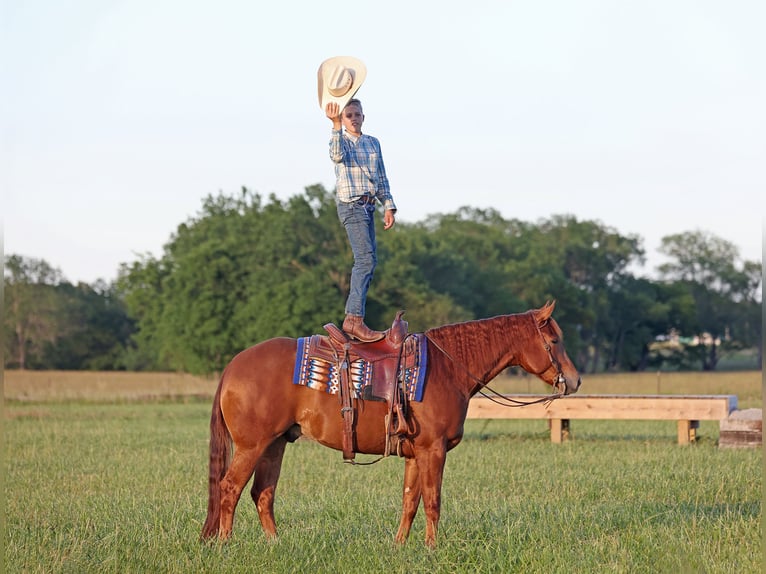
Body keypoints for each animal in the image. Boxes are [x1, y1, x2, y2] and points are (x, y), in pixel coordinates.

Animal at [201, 302, 580, 548]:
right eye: (555, 340)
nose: (574, 381)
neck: (448, 367)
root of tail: (233, 366)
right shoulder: (433, 450)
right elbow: (433, 500)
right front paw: (432, 548)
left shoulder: (415, 453)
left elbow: (410, 499)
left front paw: (400, 545)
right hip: (252, 445)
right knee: (230, 488)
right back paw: (225, 544)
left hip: (275, 444)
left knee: (262, 493)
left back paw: (275, 543)